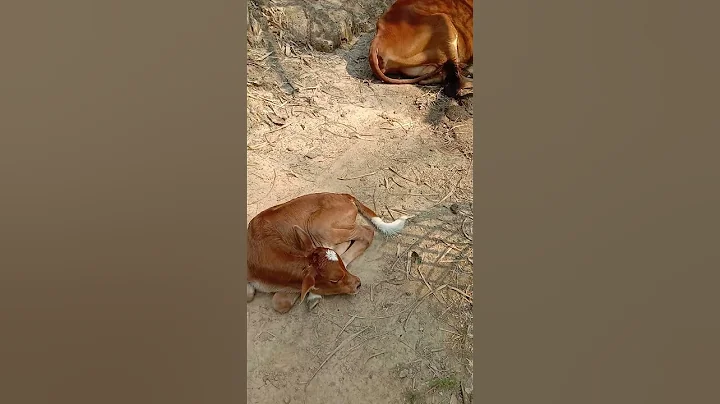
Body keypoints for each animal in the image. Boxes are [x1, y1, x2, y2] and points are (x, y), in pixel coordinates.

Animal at [247, 192, 409, 313]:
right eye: (333, 280)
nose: (358, 284)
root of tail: (343, 195)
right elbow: (253, 296)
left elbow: (281, 302)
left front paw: (312, 295)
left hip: (319, 227)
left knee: (367, 232)